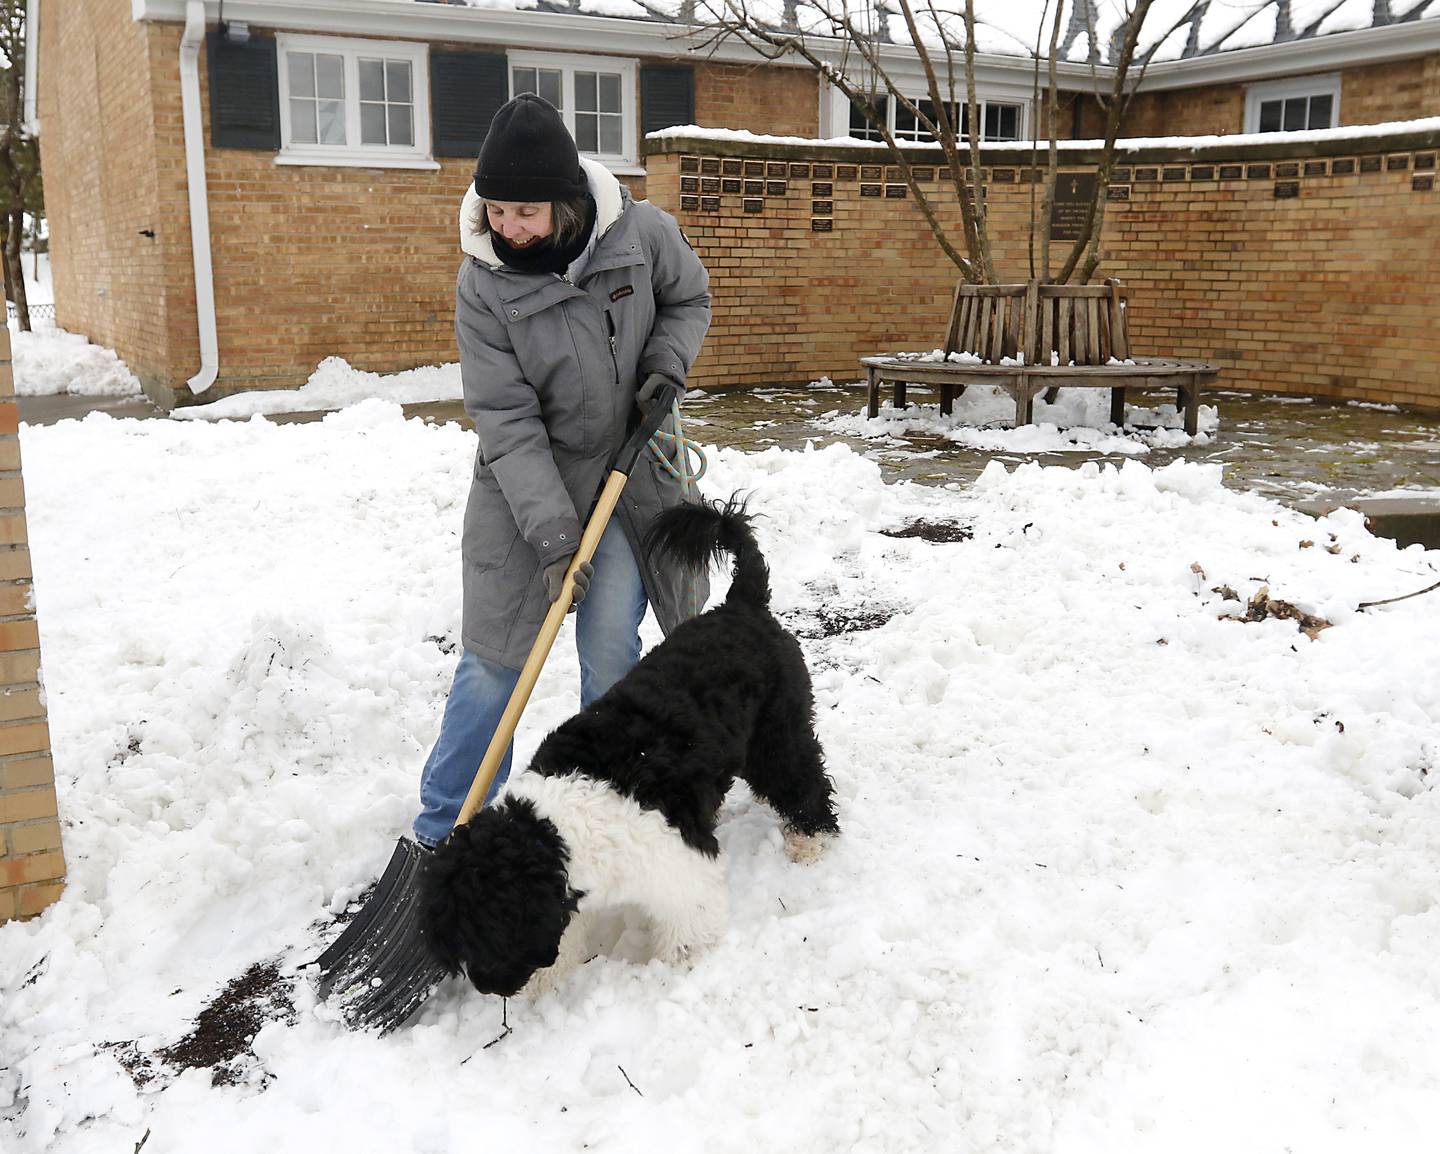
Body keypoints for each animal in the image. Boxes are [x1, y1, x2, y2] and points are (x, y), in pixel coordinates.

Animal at [420, 498, 840, 996]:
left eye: (489, 935)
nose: (491, 988)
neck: (558, 827)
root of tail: (743, 603)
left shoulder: (679, 864)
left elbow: (688, 927)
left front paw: (674, 972)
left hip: (779, 733)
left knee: (803, 779)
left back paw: (809, 839)